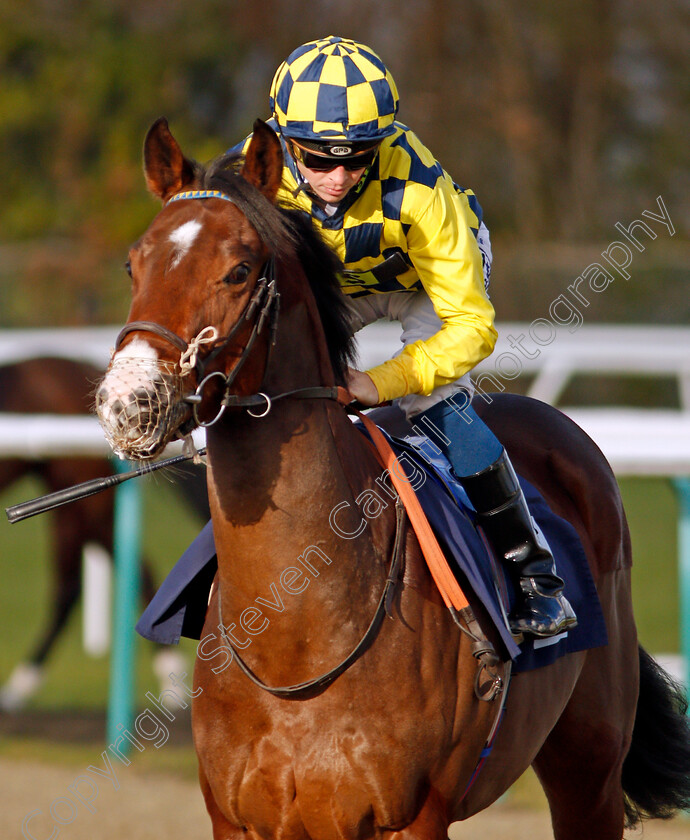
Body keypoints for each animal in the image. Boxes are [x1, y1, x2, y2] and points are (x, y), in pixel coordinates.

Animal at [92, 120, 688, 840]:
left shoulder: (411, 818)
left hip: (590, 766)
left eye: (237, 270)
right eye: (134, 264)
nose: (129, 402)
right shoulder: (237, 820)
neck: (299, 636)